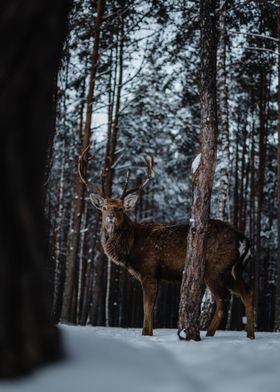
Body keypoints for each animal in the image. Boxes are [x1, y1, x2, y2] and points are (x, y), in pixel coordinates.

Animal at [80, 152, 255, 338]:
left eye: (121, 208)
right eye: (104, 207)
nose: (111, 217)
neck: (131, 249)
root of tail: (243, 239)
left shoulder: (149, 270)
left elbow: (147, 307)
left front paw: (146, 335)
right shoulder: (157, 276)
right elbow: (151, 308)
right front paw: (149, 333)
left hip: (215, 268)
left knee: (223, 298)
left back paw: (208, 334)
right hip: (231, 270)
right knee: (247, 292)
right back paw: (250, 335)